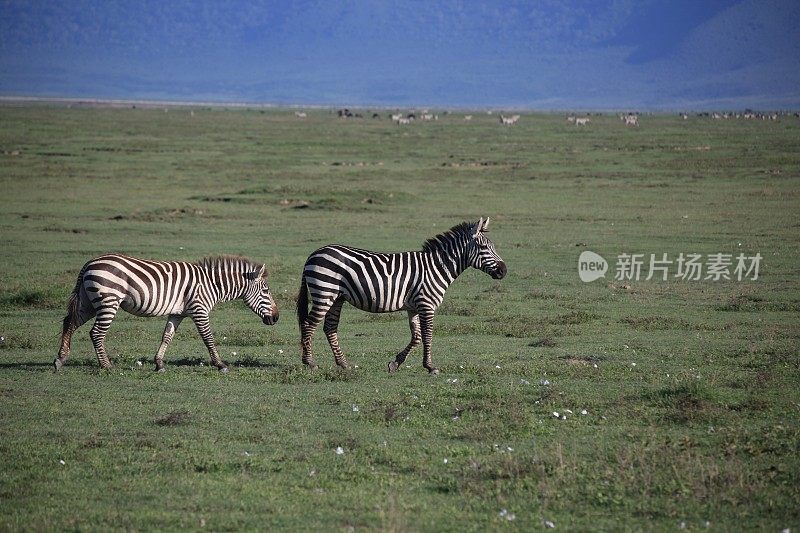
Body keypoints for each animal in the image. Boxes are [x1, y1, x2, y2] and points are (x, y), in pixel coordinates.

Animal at [54, 252, 280, 370]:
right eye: (266, 291)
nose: (277, 317)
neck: (211, 284)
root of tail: (89, 263)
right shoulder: (199, 309)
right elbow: (208, 337)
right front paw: (220, 364)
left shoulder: (178, 313)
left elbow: (167, 336)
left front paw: (159, 363)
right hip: (108, 300)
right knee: (96, 333)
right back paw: (106, 365)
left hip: (90, 302)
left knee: (69, 322)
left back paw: (60, 360)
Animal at [296, 218, 510, 372]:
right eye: (484, 248)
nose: (504, 271)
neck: (437, 267)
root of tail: (313, 254)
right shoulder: (426, 304)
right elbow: (428, 335)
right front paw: (430, 367)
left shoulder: (413, 307)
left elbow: (416, 337)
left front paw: (395, 363)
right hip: (324, 292)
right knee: (308, 325)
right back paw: (310, 362)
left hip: (337, 297)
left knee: (329, 327)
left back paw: (343, 364)